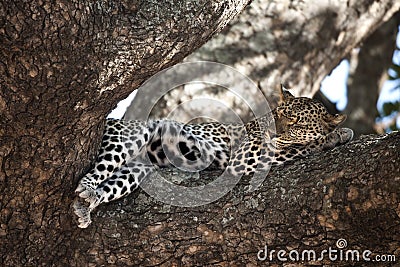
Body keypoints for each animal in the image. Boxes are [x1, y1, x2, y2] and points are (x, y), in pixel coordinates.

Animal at [72, 87, 354, 228]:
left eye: (297, 123)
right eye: (280, 114)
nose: (274, 131)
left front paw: (338, 134)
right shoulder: (244, 156)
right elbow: (296, 147)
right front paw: (335, 135)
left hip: (137, 168)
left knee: (113, 181)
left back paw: (88, 203)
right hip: (130, 135)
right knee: (96, 171)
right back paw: (87, 189)